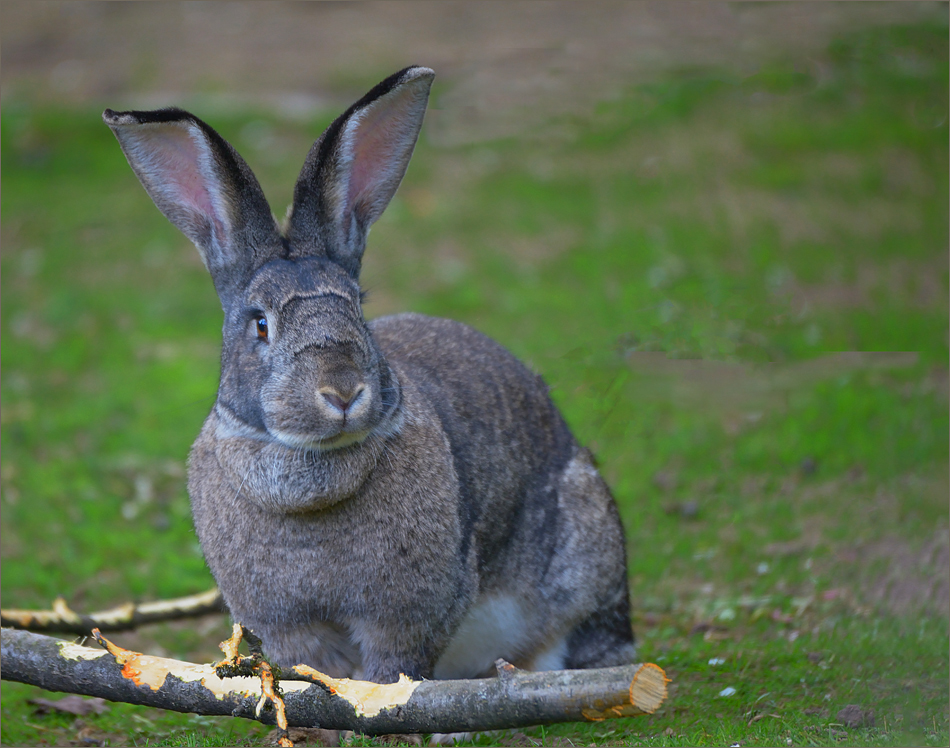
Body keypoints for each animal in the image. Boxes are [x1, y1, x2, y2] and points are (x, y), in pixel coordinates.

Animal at [102, 67, 640, 688]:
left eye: (358, 309)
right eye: (260, 323)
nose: (342, 391)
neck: (304, 465)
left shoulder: (406, 616)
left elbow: (393, 669)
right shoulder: (291, 626)